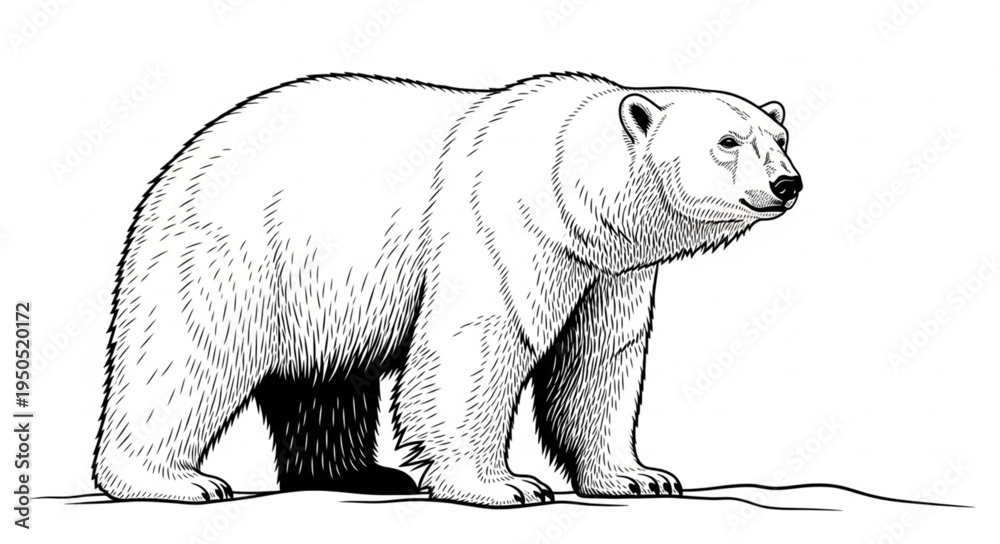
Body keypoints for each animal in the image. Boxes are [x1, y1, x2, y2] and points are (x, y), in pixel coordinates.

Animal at [92, 72, 801, 506]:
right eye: (727, 141)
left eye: (781, 136)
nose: (788, 183)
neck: (574, 192)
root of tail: (181, 159)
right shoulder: (501, 227)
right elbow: (476, 346)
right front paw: (504, 485)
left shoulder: (610, 269)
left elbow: (598, 362)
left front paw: (638, 476)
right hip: (235, 253)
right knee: (187, 359)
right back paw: (174, 479)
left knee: (325, 379)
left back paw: (363, 472)